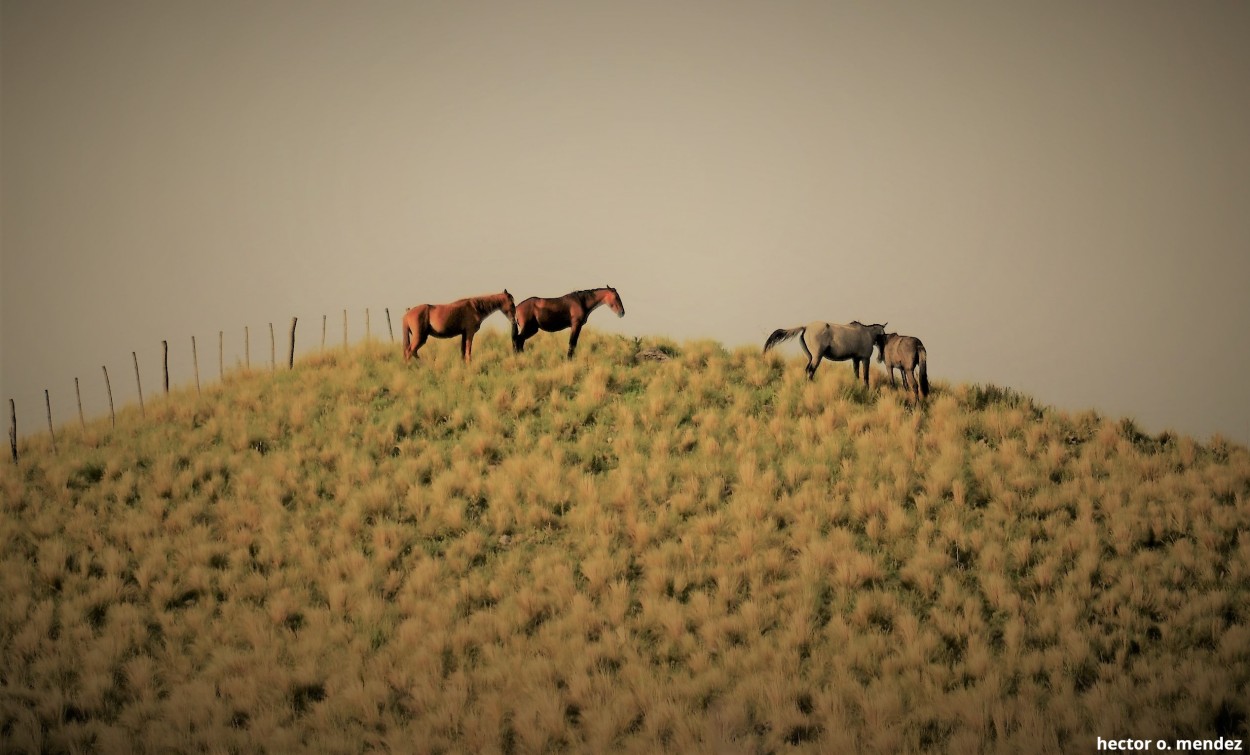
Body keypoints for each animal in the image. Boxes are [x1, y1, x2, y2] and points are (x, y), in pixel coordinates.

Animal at [760, 322, 890, 387]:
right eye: (882, 336)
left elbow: (856, 374)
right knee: (811, 370)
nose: (880, 358)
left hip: (811, 357)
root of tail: (806, 327)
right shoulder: (865, 359)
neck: (866, 333)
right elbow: (866, 376)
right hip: (817, 357)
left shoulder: (855, 359)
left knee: (807, 370)